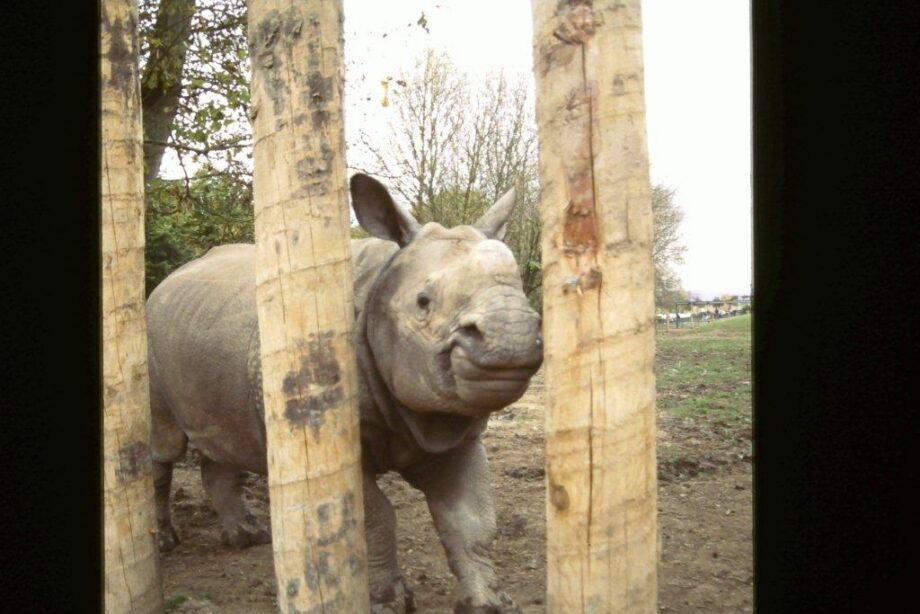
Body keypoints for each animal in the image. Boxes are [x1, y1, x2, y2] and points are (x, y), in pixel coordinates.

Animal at [146, 173, 543, 613]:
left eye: (522, 293)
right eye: (423, 302)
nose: (512, 337)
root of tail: (168, 280)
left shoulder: (456, 433)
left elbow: (471, 521)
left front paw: (489, 603)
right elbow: (373, 517)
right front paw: (388, 602)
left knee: (227, 437)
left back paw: (249, 538)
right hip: (149, 333)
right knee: (163, 446)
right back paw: (166, 543)